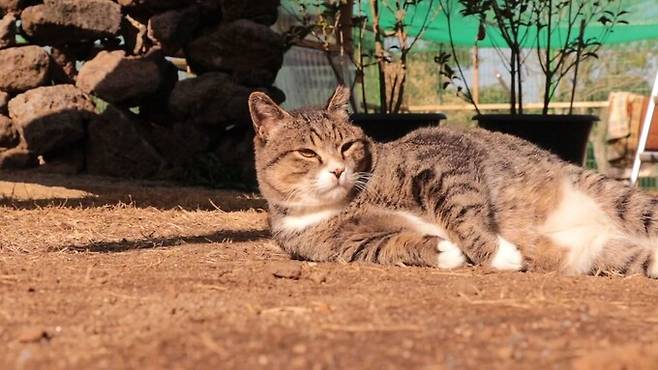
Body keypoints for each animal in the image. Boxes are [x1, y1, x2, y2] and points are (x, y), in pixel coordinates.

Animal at [245, 86, 656, 278]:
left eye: (347, 146)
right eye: (307, 153)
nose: (337, 170)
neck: (343, 202)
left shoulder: (441, 164)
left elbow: (459, 211)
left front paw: (496, 254)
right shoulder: (345, 246)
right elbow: (387, 245)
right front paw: (443, 251)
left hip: (621, 199)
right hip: (608, 253)